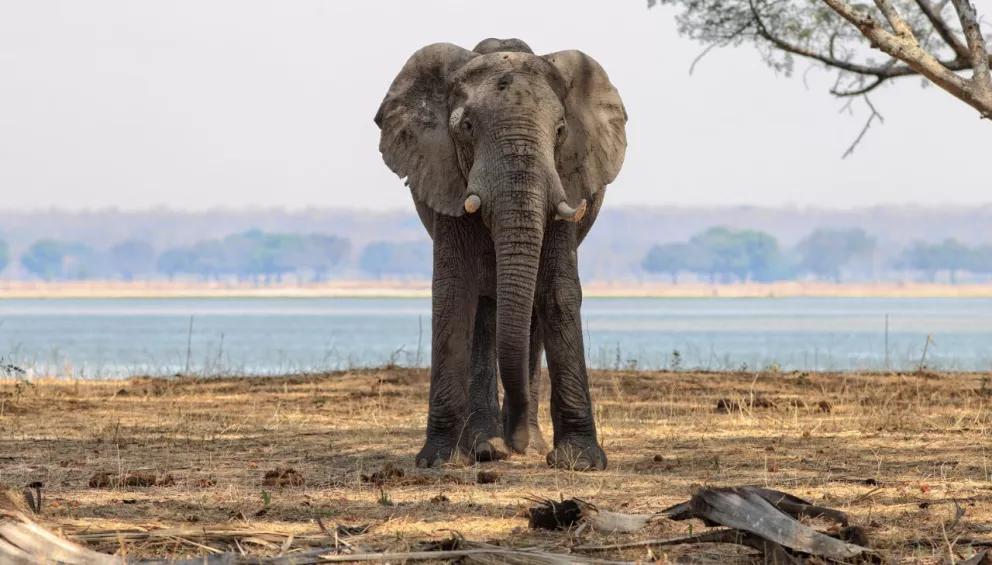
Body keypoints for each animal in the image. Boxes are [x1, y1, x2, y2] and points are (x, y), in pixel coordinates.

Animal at [372, 34, 628, 468]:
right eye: (466, 128)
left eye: (561, 130)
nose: (517, 442)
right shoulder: (447, 180)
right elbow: (454, 293)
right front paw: (438, 462)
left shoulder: (566, 179)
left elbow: (557, 292)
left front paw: (580, 462)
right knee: (484, 309)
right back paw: (486, 447)